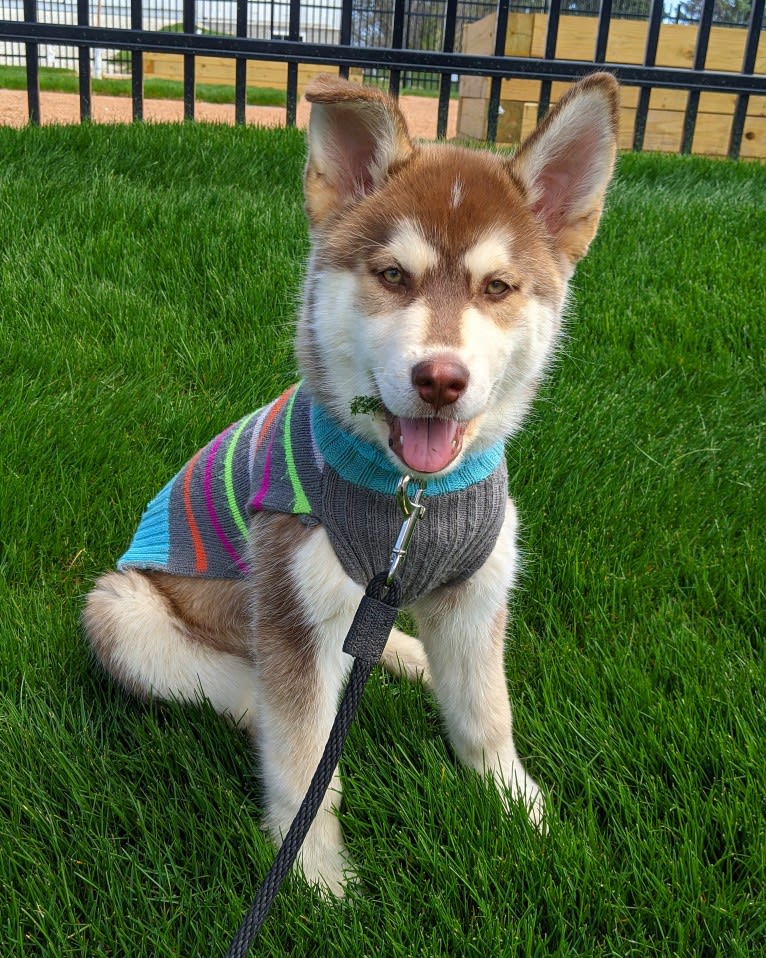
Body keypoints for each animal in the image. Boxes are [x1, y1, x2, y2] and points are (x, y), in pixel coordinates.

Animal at [84, 75, 620, 900]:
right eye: (393, 275)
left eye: (497, 286)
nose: (440, 379)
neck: (414, 501)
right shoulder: (292, 606)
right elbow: (303, 759)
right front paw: (316, 876)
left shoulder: (478, 593)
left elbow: (486, 715)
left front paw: (519, 807)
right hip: (121, 609)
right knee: (259, 700)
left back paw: (407, 661)